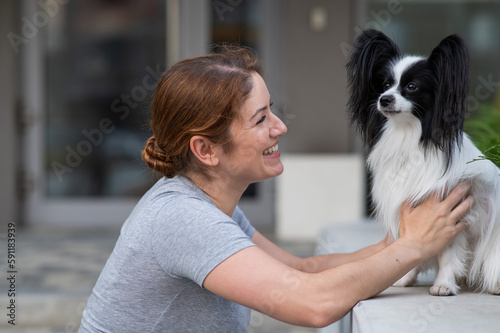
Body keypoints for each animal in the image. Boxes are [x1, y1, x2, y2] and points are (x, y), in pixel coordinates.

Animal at [348, 27, 500, 294]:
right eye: (385, 84)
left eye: (412, 86)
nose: (384, 99)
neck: (408, 134)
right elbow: (410, 247)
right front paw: (405, 277)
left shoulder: (457, 214)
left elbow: (447, 254)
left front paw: (443, 285)